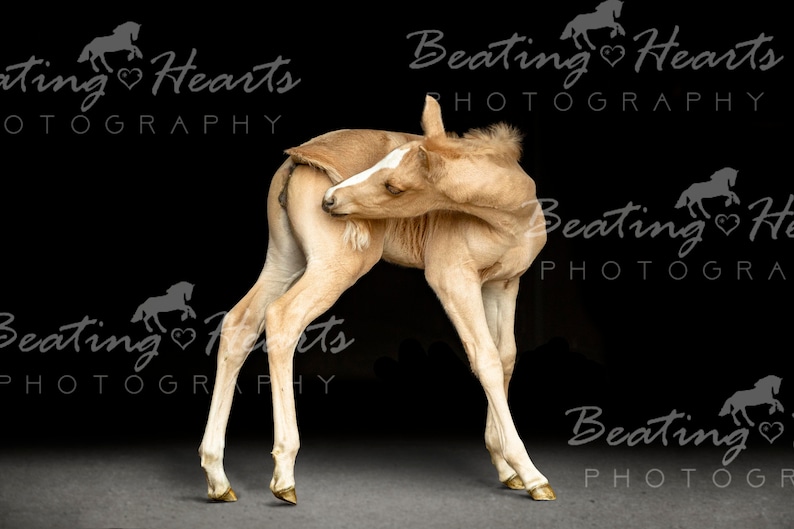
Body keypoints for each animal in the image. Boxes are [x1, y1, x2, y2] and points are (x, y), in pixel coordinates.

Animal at [198, 95, 553, 505]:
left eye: (394, 186)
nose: (330, 199)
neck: (511, 214)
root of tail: (298, 157)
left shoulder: (504, 283)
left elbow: (507, 355)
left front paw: (505, 467)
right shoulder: (452, 277)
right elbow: (487, 359)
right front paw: (530, 473)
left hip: (284, 259)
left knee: (239, 323)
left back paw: (217, 477)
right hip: (336, 265)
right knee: (283, 317)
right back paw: (284, 474)